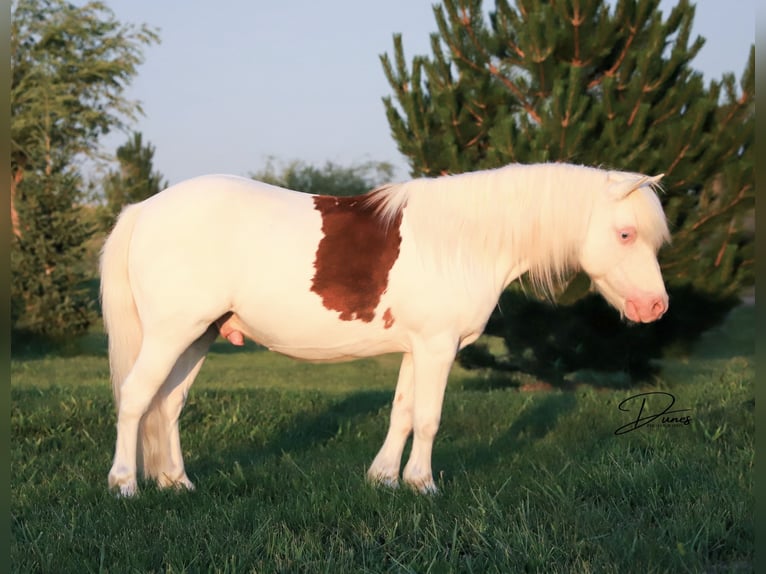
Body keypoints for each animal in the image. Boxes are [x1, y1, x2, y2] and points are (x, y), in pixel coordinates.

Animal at [101, 162, 670, 497]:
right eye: (626, 234)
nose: (655, 307)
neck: (462, 240)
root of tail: (143, 209)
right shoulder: (438, 346)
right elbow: (430, 417)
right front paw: (423, 485)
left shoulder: (418, 348)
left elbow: (402, 413)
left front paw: (384, 480)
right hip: (171, 333)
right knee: (135, 399)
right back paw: (125, 485)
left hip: (197, 336)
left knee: (168, 405)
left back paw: (177, 483)